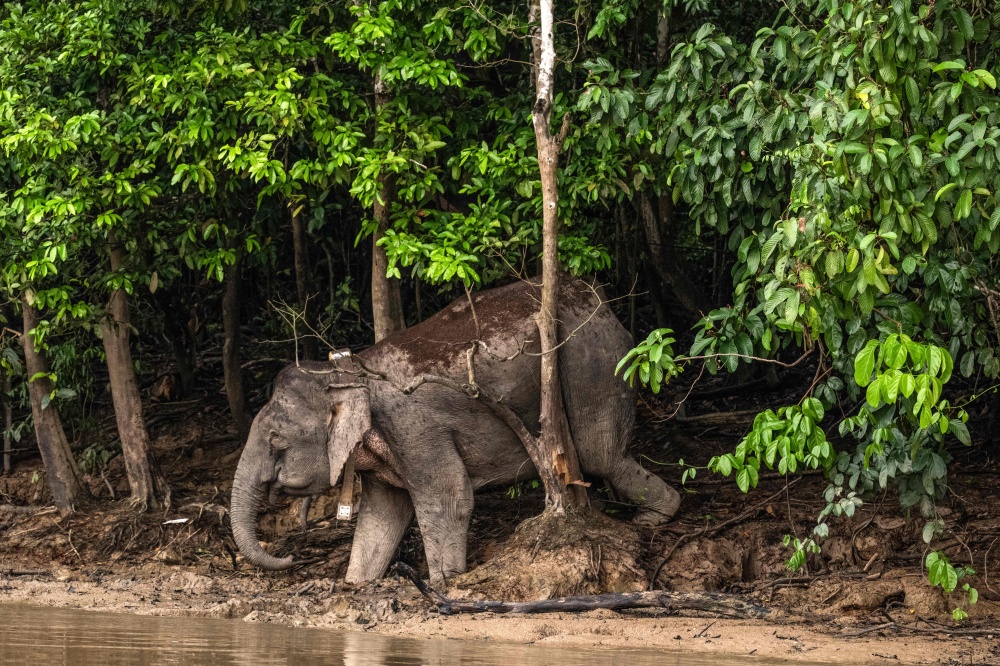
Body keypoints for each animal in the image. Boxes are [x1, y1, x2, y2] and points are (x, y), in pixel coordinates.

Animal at [230, 277, 680, 586]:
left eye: (276, 440)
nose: (289, 558)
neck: (350, 370)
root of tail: (601, 299)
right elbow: (383, 514)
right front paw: (357, 582)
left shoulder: (412, 427)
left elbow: (449, 495)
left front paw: (444, 582)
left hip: (594, 361)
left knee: (599, 454)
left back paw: (652, 518)